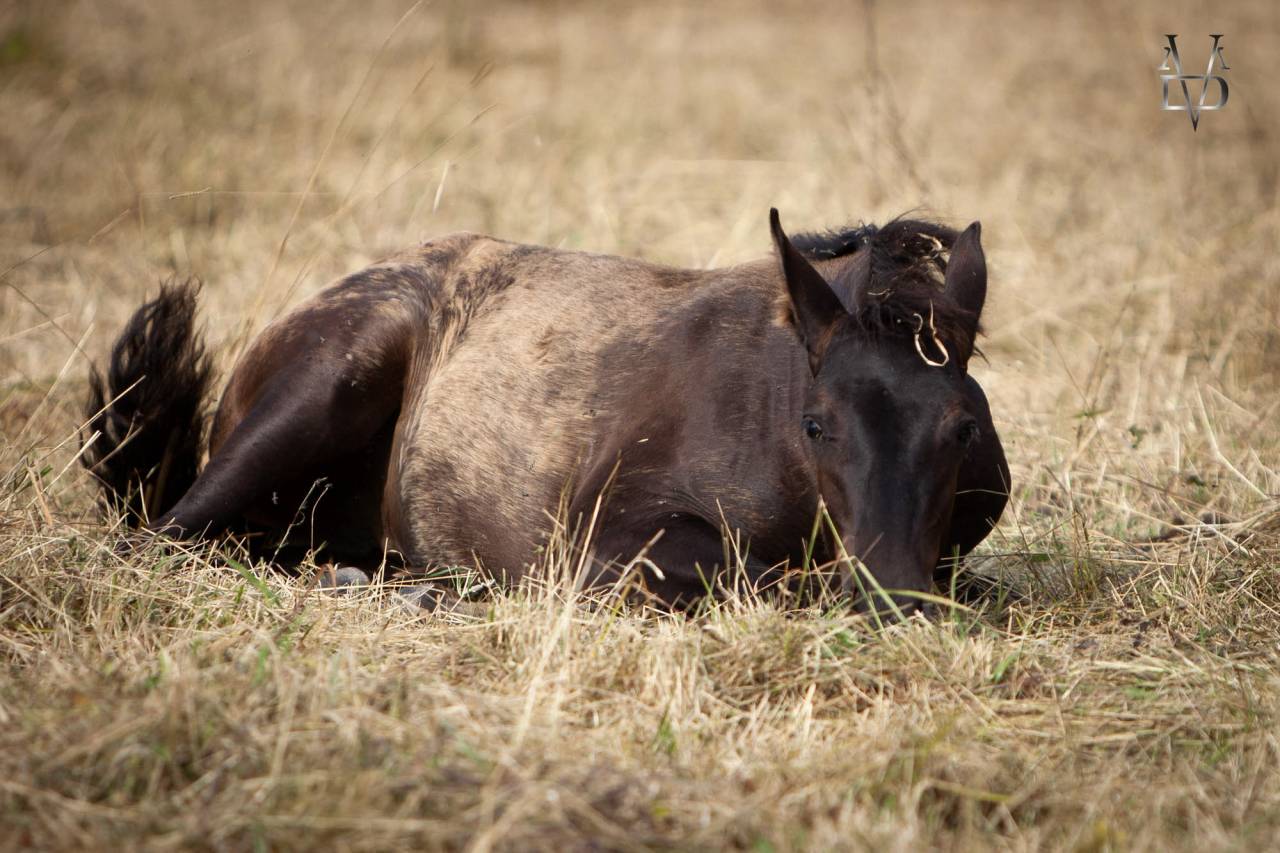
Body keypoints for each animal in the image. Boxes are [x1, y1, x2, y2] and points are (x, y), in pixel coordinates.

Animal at [84, 209, 1010, 614]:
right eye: (817, 426)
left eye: (963, 429)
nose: (896, 599)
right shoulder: (599, 538)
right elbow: (756, 574)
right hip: (325, 383)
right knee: (157, 537)